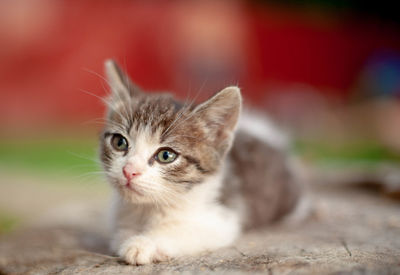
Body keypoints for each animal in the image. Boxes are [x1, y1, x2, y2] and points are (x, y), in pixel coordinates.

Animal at [100, 59, 304, 266]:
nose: (129, 170)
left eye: (166, 155)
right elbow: (119, 233)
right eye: (119, 142)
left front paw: (144, 244)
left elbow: (186, 230)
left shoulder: (223, 217)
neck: (148, 208)